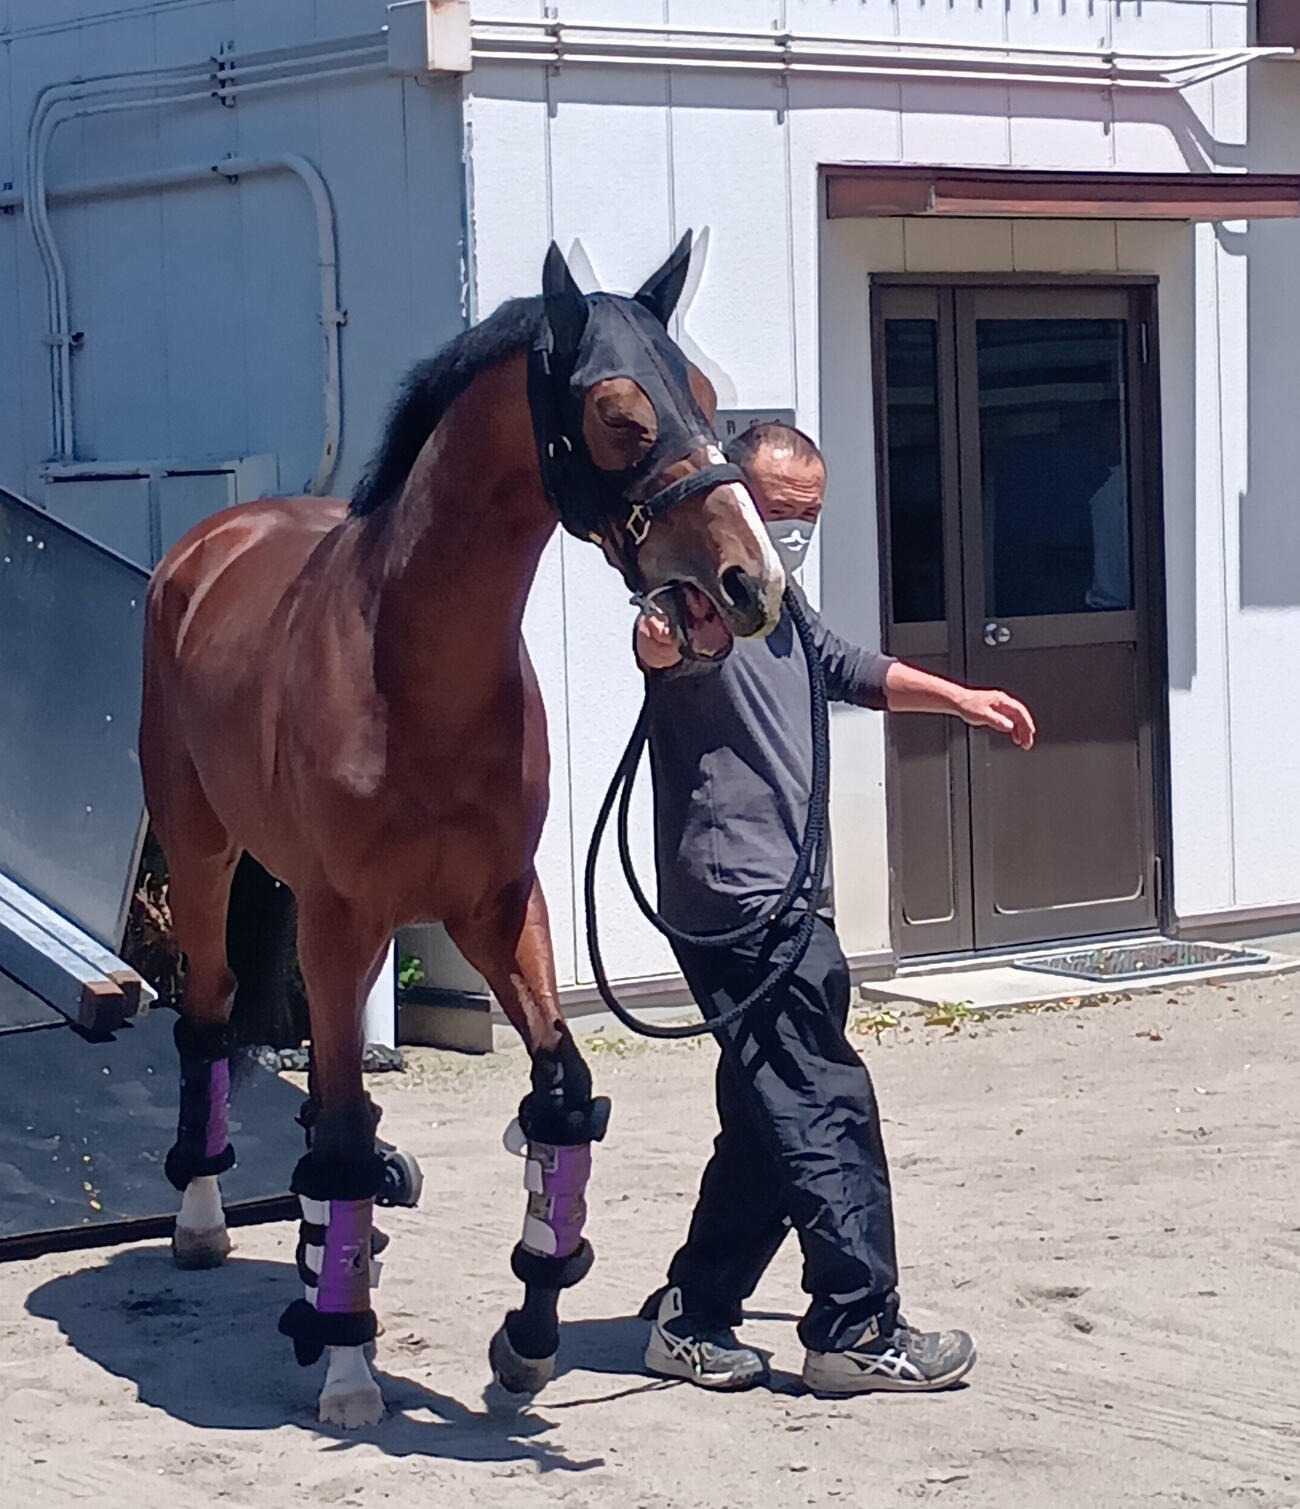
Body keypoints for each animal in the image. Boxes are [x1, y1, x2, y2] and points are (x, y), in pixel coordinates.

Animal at [139, 234, 785, 1427]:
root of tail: (211, 542)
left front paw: (524, 1341)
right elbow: (347, 1130)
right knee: (209, 1013)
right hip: (204, 856)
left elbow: (559, 1101)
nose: (749, 581)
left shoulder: (500, 907)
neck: (411, 670)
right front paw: (350, 1370)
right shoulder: (343, 920)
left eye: (709, 399)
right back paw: (208, 1226)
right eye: (619, 415)